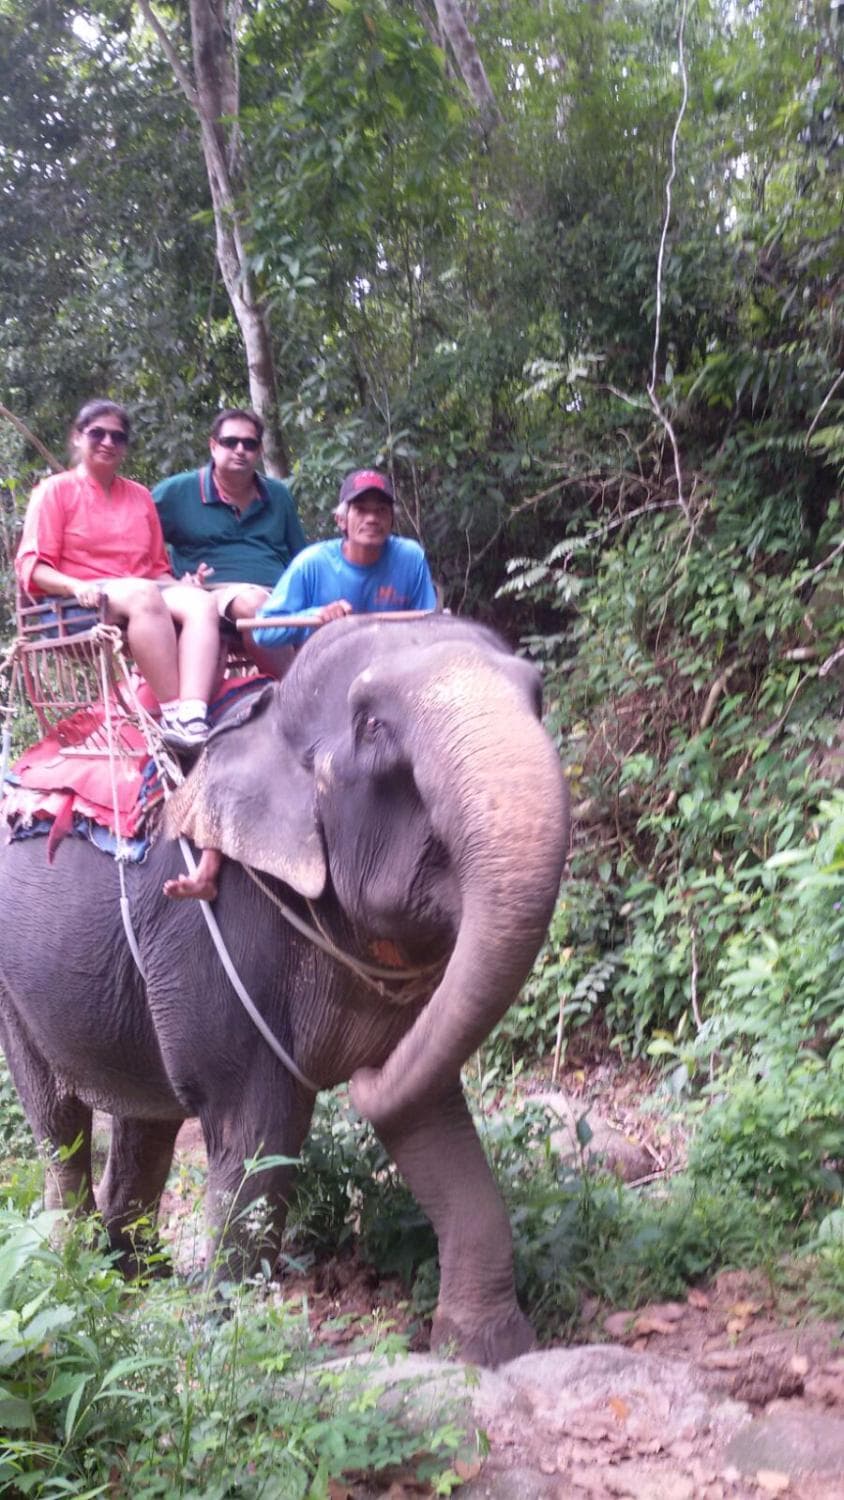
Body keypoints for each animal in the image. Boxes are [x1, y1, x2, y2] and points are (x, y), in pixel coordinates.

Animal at [0, 614, 568, 1366]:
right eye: (371, 725)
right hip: (12, 990)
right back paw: (78, 1281)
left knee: (147, 1121)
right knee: (58, 1125)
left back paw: (135, 1280)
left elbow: (429, 1118)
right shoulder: (211, 927)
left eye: (538, 697)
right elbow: (258, 1134)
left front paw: (485, 1351)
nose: (359, 1077)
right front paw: (229, 1350)